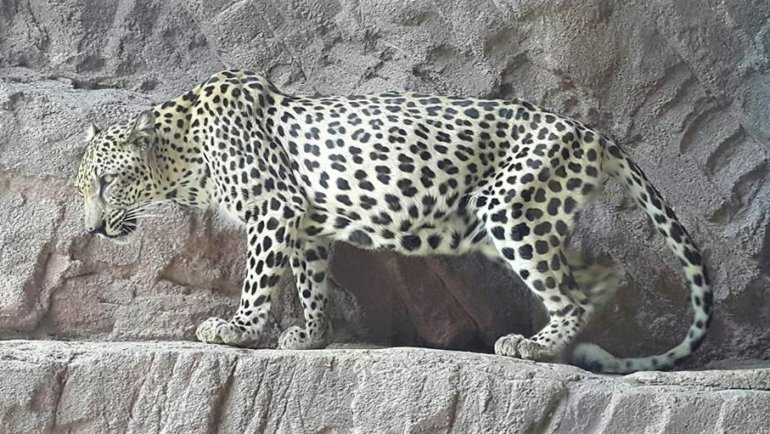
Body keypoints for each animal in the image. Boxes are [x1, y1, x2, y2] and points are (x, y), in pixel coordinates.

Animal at [75, 69, 712, 374]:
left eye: (106, 184)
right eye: (83, 191)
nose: (93, 230)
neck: (184, 157)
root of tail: (588, 130)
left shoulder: (273, 209)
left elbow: (258, 280)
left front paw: (238, 330)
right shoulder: (306, 225)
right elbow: (310, 283)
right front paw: (311, 336)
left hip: (509, 210)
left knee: (571, 293)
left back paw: (532, 347)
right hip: (523, 218)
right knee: (596, 275)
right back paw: (570, 342)